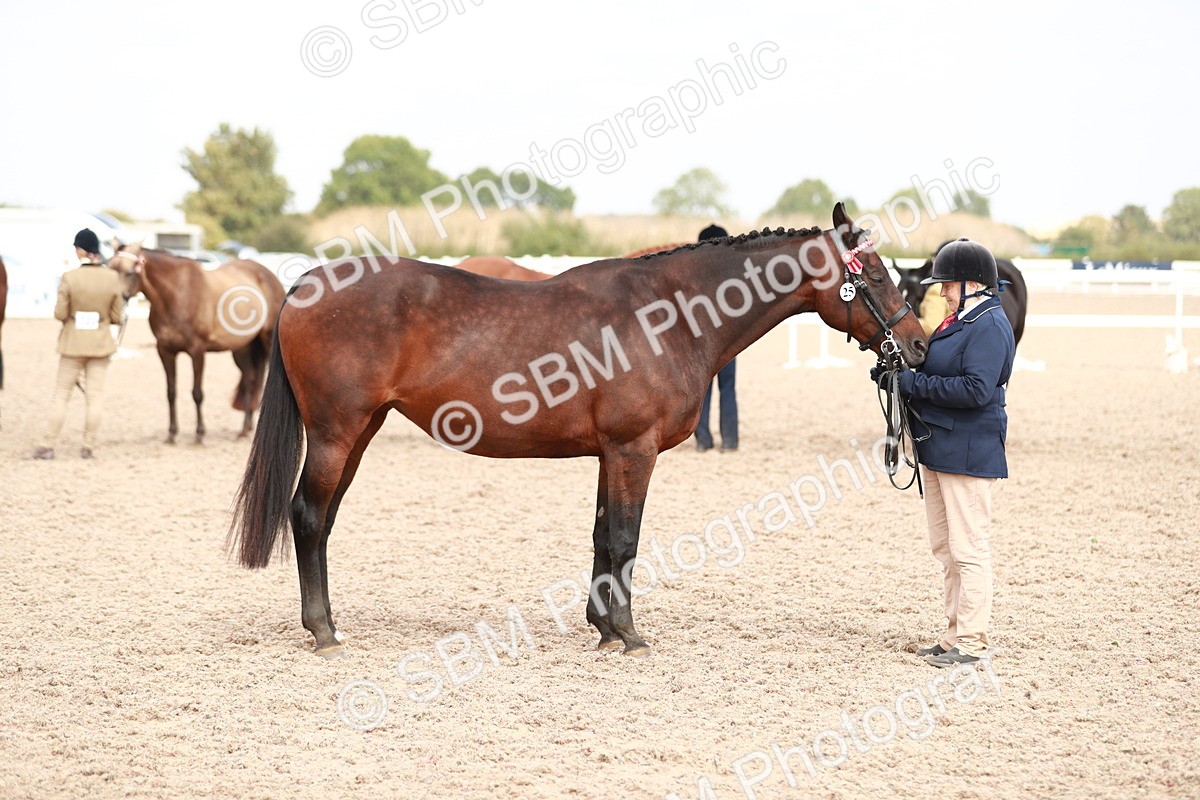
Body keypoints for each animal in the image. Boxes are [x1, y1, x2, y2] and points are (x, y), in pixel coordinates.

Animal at [109, 244, 285, 443]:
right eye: (110, 267)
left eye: (130, 272)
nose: (114, 303)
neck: (177, 293)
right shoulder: (165, 351)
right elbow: (171, 392)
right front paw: (172, 434)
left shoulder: (197, 351)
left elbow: (197, 393)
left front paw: (199, 434)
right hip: (243, 349)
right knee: (250, 380)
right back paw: (244, 430)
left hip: (267, 343)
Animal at [228, 203, 928, 659]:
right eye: (874, 276)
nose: (918, 347)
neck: (670, 316)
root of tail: (306, 282)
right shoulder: (633, 450)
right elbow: (624, 539)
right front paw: (630, 634)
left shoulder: (608, 455)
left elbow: (600, 537)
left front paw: (602, 627)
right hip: (335, 433)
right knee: (308, 516)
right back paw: (323, 632)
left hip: (359, 432)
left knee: (322, 520)